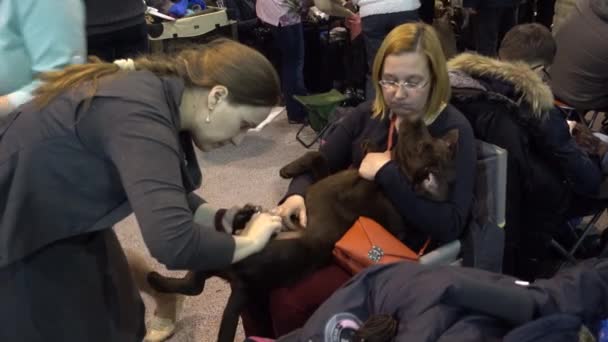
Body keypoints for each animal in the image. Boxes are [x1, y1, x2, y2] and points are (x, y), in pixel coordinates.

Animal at [150, 118, 458, 342]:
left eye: (422, 144)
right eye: (426, 138)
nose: (417, 118)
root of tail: (244, 283)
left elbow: (325, 159)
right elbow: (317, 157)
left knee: (195, 277)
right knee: (193, 284)